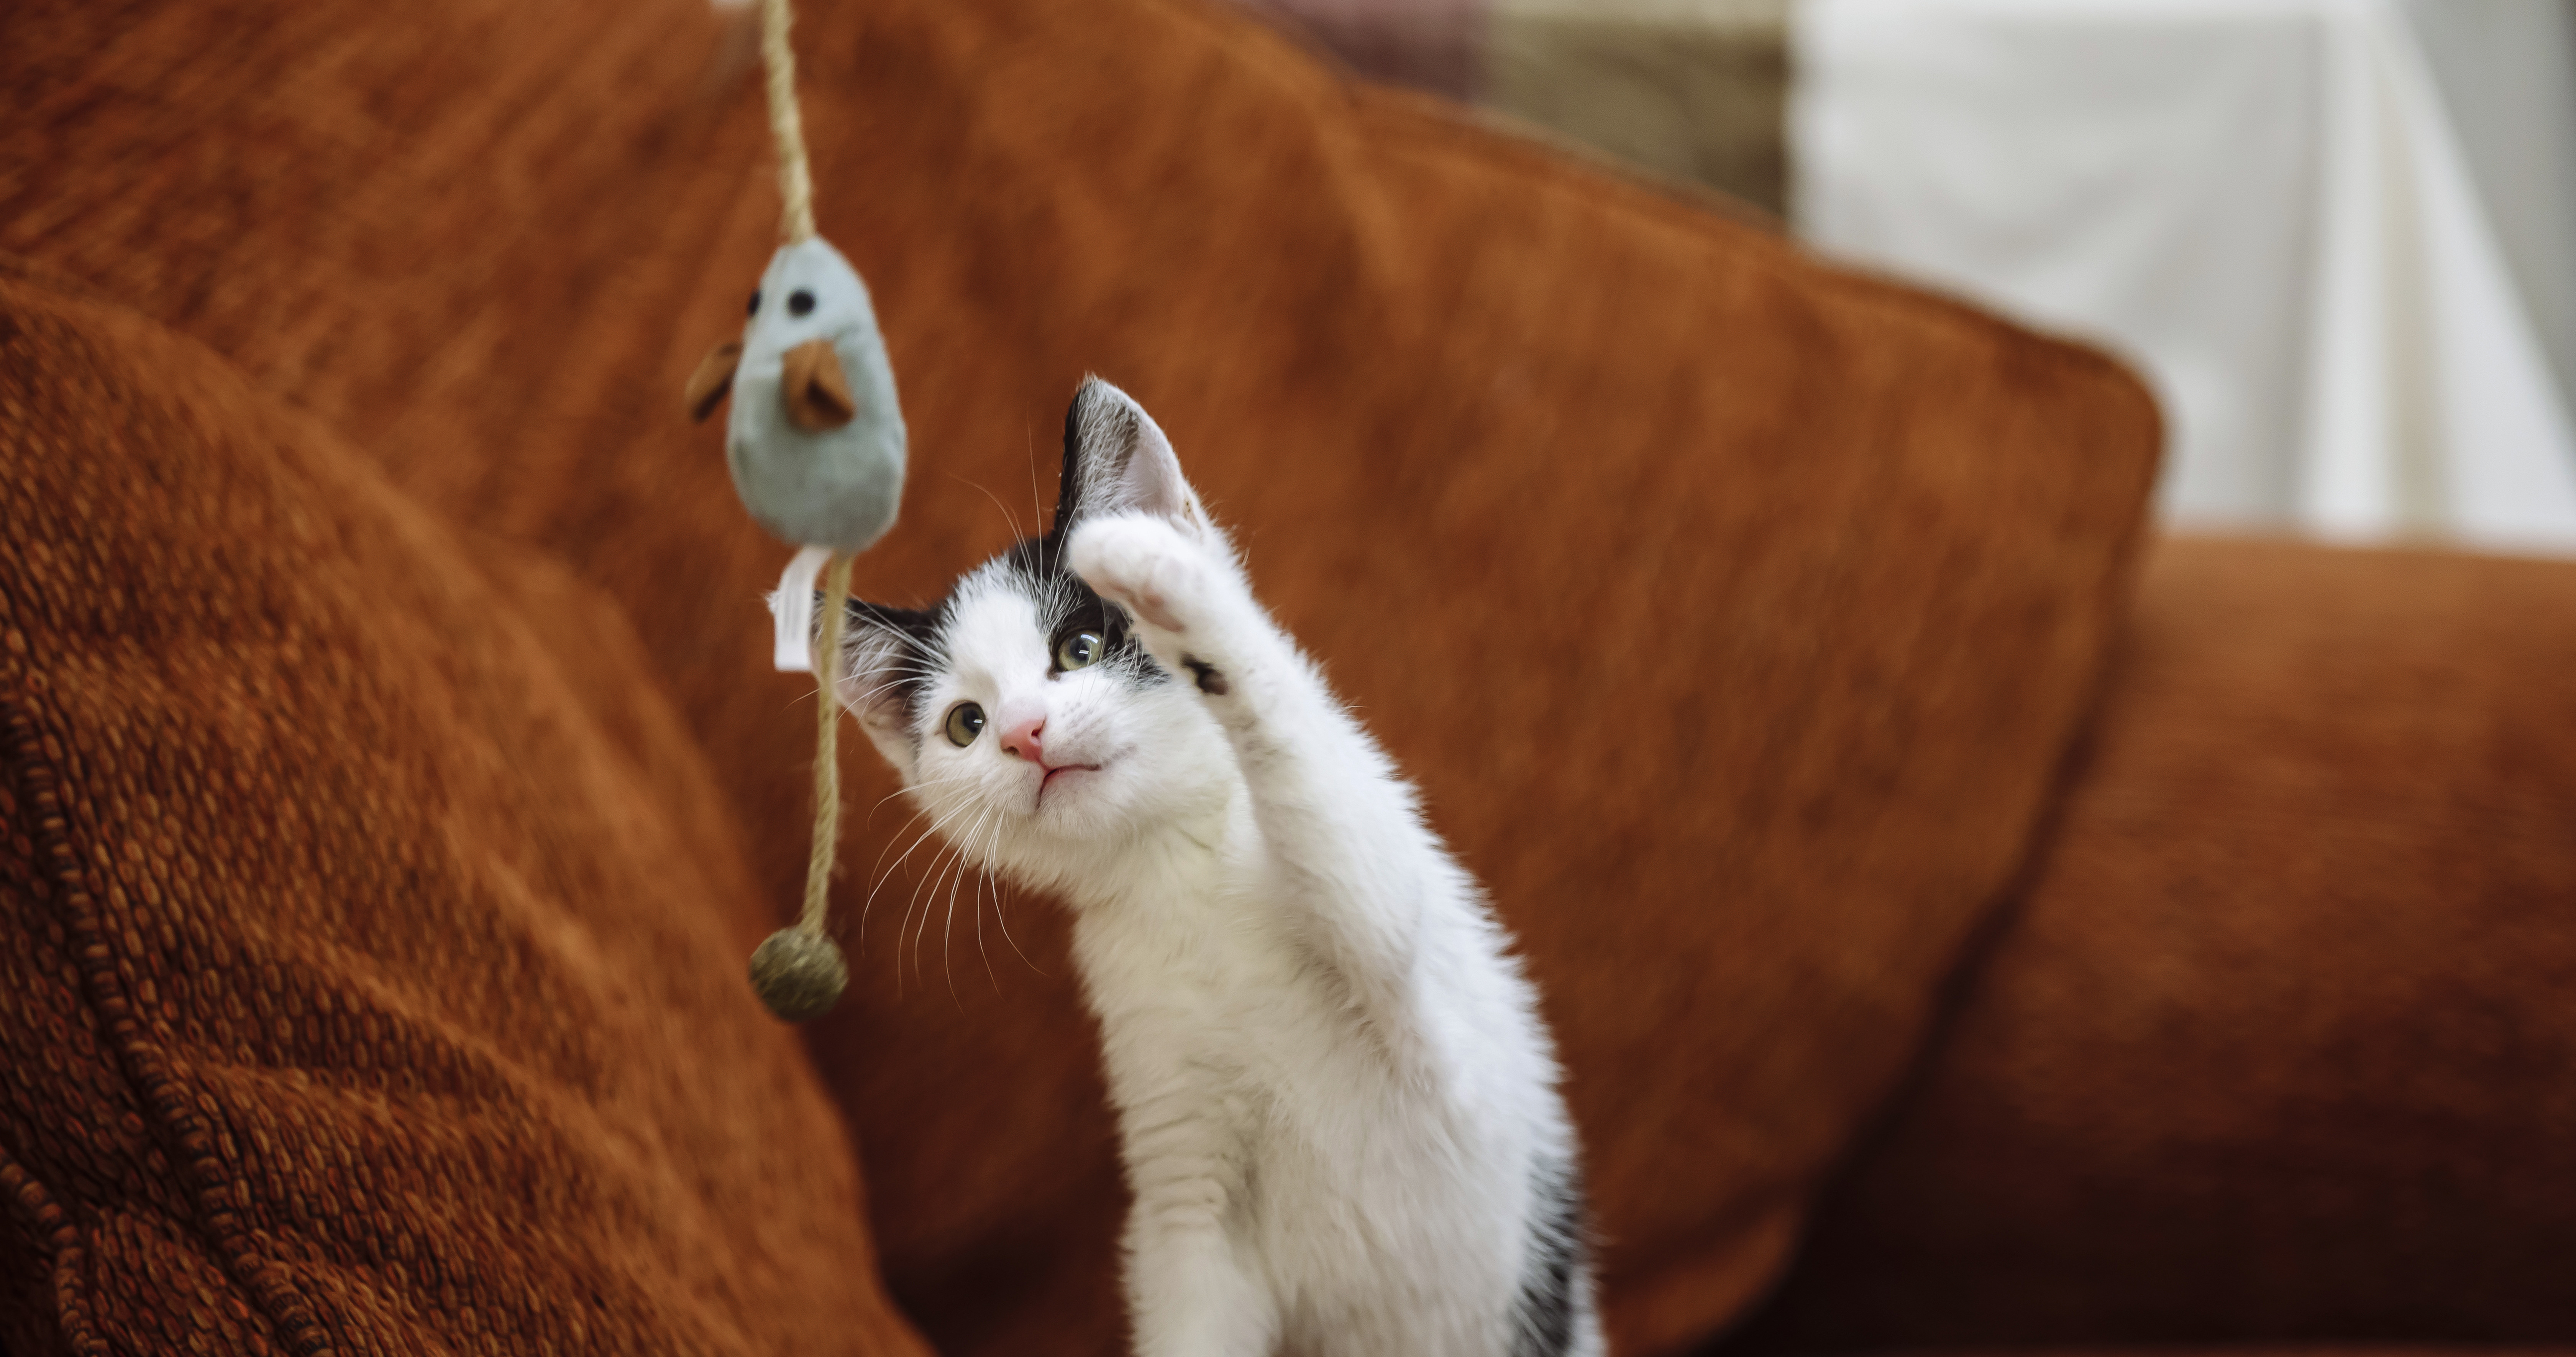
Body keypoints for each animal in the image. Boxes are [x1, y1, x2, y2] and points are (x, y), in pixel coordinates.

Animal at [834, 378, 1597, 1357]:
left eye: (1080, 648)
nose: (1024, 734)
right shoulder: (1187, 1201)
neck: (1177, 872)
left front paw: (1161, 572)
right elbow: (1196, 1295)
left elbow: (1323, 809)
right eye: (966, 724)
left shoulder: (1433, 1013)